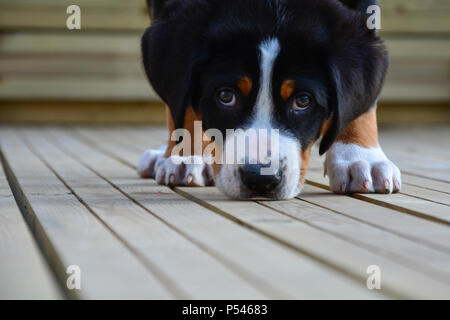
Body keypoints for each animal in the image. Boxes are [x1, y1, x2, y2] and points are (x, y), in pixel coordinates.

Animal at [136, 0, 400, 200]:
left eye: (302, 100)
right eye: (226, 96)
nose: (261, 179)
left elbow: (361, 104)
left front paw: (360, 157)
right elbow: (183, 103)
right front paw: (187, 154)